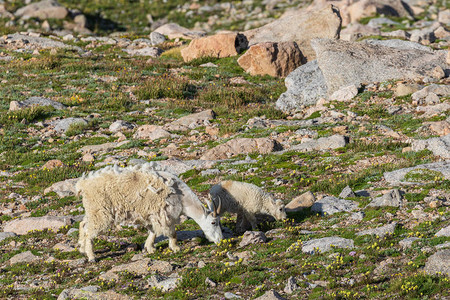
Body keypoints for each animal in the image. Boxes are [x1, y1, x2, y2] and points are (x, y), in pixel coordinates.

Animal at [78, 163, 225, 262]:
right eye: (213, 222)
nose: (220, 240)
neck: (181, 197)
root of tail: (83, 185)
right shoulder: (164, 214)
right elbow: (172, 232)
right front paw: (175, 248)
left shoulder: (151, 215)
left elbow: (153, 232)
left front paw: (150, 248)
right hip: (100, 212)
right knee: (89, 232)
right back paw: (91, 256)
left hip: (92, 211)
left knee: (83, 224)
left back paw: (82, 249)